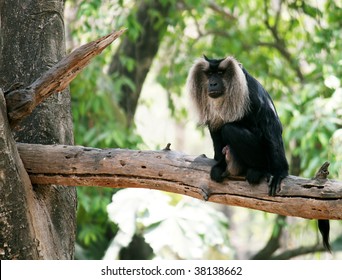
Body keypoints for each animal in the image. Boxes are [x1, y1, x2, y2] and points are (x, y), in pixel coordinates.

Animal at [187, 54, 332, 252]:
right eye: (209, 74)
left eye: (221, 73)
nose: (213, 83)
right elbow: (215, 127)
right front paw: (218, 164)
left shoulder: (252, 92)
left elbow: (271, 125)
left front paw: (279, 173)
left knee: (230, 128)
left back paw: (256, 170)